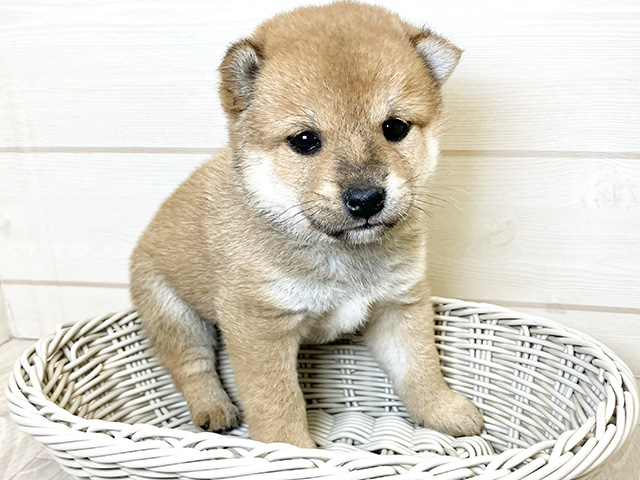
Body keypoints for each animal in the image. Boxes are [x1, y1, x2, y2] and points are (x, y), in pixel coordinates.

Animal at [130, 1, 482, 448]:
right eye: (304, 140)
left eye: (395, 127)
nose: (366, 199)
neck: (338, 254)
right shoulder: (260, 327)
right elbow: (277, 402)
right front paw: (291, 450)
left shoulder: (399, 305)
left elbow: (420, 369)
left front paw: (444, 410)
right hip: (173, 313)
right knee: (193, 366)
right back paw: (215, 410)